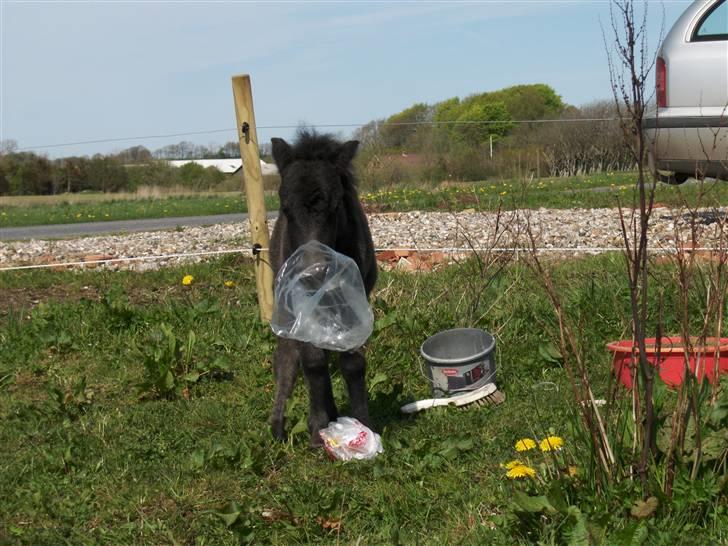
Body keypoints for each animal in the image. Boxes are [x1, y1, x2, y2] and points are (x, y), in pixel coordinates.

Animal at [270, 130, 378, 444]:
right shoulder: (300, 302)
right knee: (287, 359)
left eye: (336, 205)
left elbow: (352, 362)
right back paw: (278, 426)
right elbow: (312, 361)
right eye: (285, 208)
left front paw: (363, 423)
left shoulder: (354, 300)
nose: (314, 272)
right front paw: (318, 427)